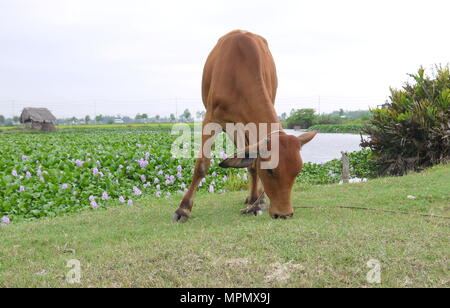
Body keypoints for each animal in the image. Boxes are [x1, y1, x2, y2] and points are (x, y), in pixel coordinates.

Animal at [172, 30, 316, 221]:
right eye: (270, 171)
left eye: (297, 171)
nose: (284, 214)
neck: (239, 73)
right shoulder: (211, 119)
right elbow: (202, 164)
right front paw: (183, 209)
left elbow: (253, 163)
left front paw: (256, 203)